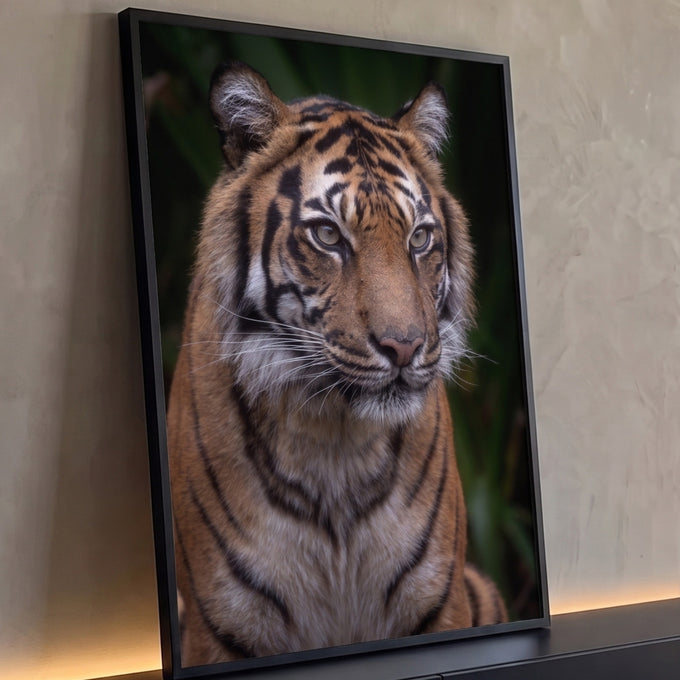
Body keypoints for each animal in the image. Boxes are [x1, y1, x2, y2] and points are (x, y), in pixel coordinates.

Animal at [166, 60, 506, 668]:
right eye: (327, 234)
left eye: (420, 238)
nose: (405, 347)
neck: (333, 437)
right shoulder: (220, 624)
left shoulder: (439, 598)